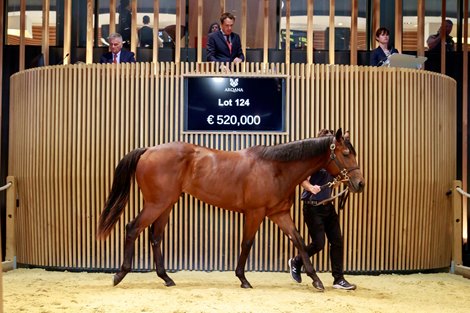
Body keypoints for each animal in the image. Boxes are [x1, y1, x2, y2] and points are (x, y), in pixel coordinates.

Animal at [97, 127, 366, 290]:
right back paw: (120, 275)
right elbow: (247, 243)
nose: (360, 184)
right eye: (345, 153)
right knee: (132, 228)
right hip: (156, 203)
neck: (275, 168)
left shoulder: (279, 214)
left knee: (155, 237)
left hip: (166, 204)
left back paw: (166, 278)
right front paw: (243, 279)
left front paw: (316, 280)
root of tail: (148, 151)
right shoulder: (255, 213)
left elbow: (299, 241)